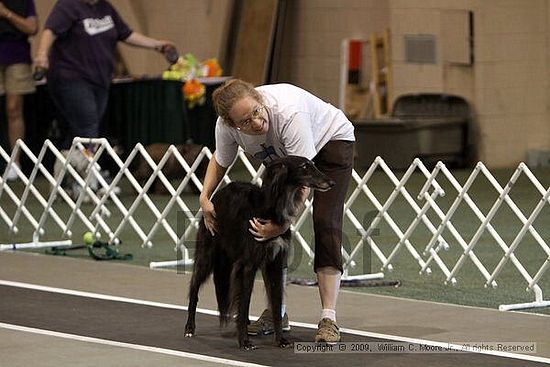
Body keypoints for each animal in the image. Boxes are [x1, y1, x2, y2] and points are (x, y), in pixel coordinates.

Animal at [185, 155, 334, 350]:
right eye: (304, 166)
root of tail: (215, 196)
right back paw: (189, 328)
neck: (272, 206)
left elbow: (276, 304)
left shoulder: (275, 263)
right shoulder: (247, 265)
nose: (331, 182)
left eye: (313, 164)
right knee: (194, 290)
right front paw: (244, 341)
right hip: (206, 255)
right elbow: (244, 304)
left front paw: (280, 340)